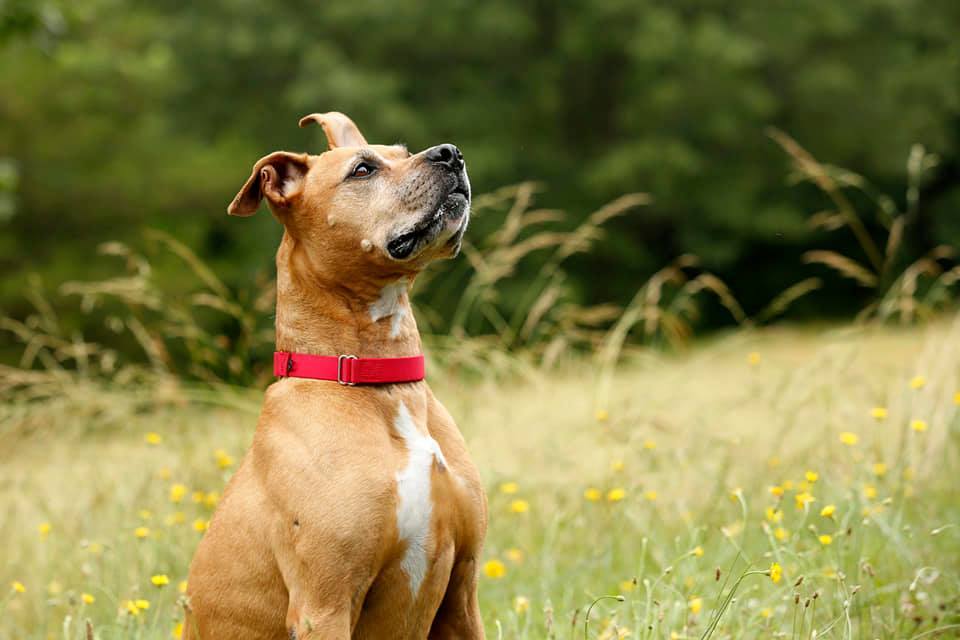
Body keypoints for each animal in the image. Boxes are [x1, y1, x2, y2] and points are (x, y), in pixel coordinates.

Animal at [184, 112, 488, 636]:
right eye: (362, 170)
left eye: (403, 152)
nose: (450, 153)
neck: (377, 382)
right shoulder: (323, 604)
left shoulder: (462, 591)